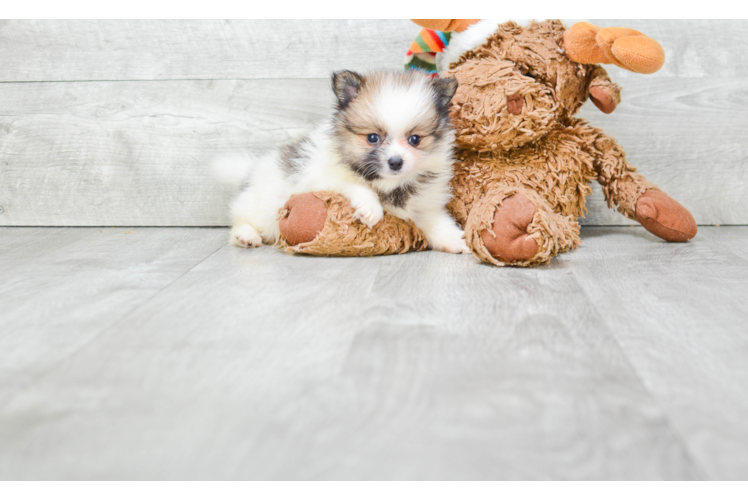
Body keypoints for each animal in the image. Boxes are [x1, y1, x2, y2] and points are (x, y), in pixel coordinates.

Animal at [213, 70, 468, 254]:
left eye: (415, 139)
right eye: (373, 138)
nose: (395, 162)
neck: (387, 185)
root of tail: (251, 171)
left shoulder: (425, 206)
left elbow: (439, 225)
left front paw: (459, 241)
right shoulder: (321, 178)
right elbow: (354, 184)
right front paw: (371, 208)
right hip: (258, 207)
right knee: (239, 223)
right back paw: (247, 236)